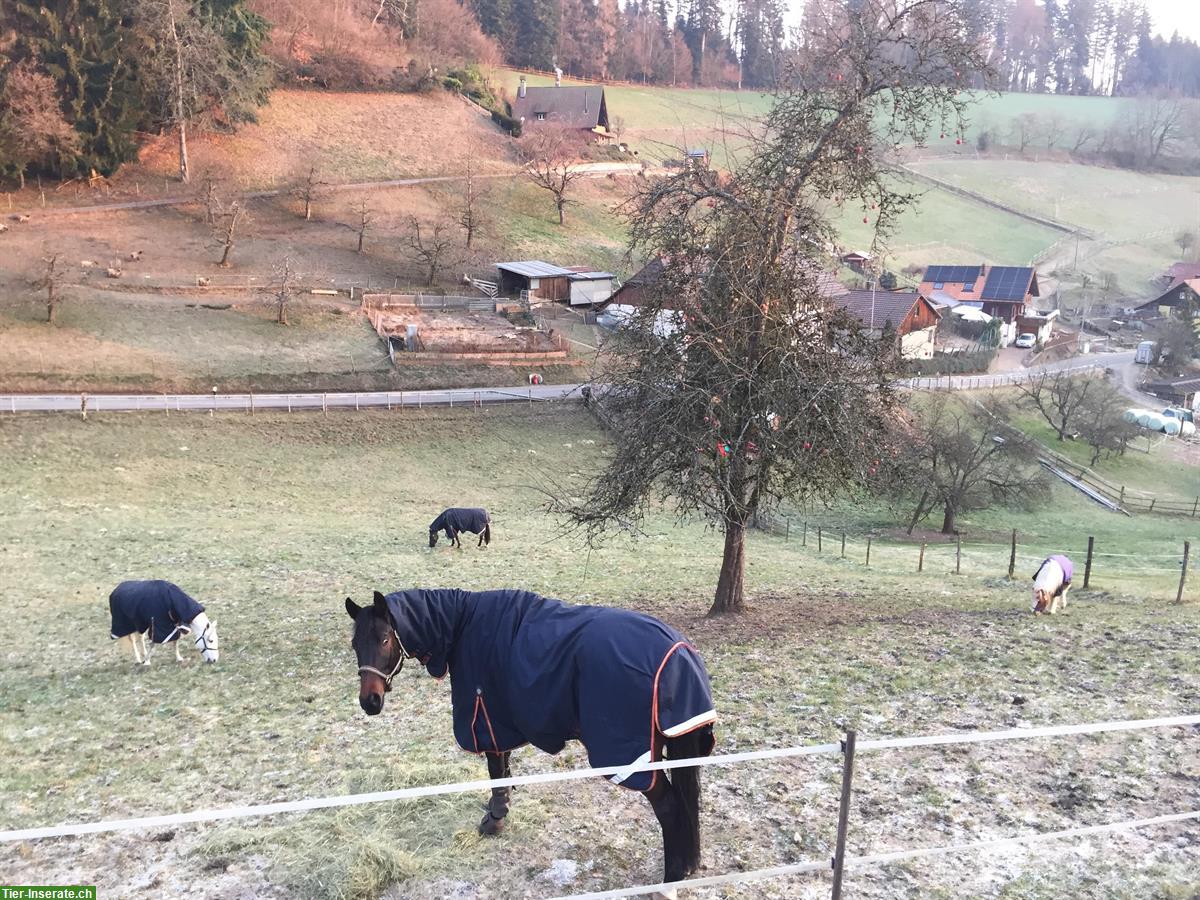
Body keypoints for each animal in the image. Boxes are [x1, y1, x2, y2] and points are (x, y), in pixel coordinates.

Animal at [343, 588, 715, 892]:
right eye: (355, 643)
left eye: (385, 639)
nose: (369, 702)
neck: (463, 626)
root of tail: (679, 654)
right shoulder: (502, 717)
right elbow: (504, 766)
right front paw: (500, 806)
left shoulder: (484, 713)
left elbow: (495, 769)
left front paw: (495, 819)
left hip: (627, 758)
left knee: (670, 808)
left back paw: (670, 880)